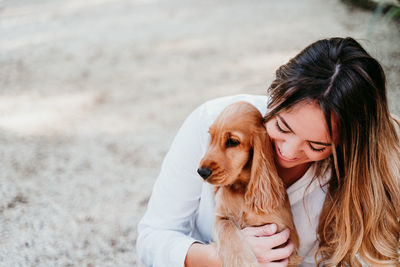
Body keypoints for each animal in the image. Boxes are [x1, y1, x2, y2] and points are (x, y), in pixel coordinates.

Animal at [197, 101, 300, 266]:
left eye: (232, 141)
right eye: (211, 137)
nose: (201, 172)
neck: (241, 187)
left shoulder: (285, 235)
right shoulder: (221, 217)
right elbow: (226, 227)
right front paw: (242, 260)